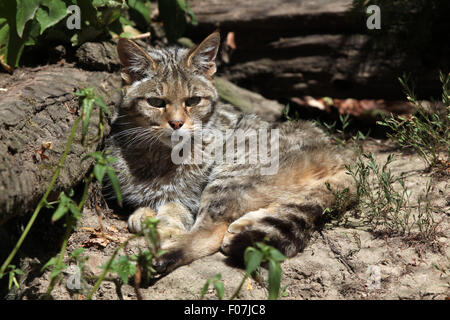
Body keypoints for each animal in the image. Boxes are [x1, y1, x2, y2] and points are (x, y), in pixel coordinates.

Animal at [106, 31, 356, 274]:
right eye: (156, 102)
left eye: (193, 101)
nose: (176, 123)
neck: (159, 154)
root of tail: (335, 156)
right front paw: (144, 215)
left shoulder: (190, 199)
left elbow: (175, 209)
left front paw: (163, 227)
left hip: (231, 170)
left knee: (210, 231)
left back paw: (164, 257)